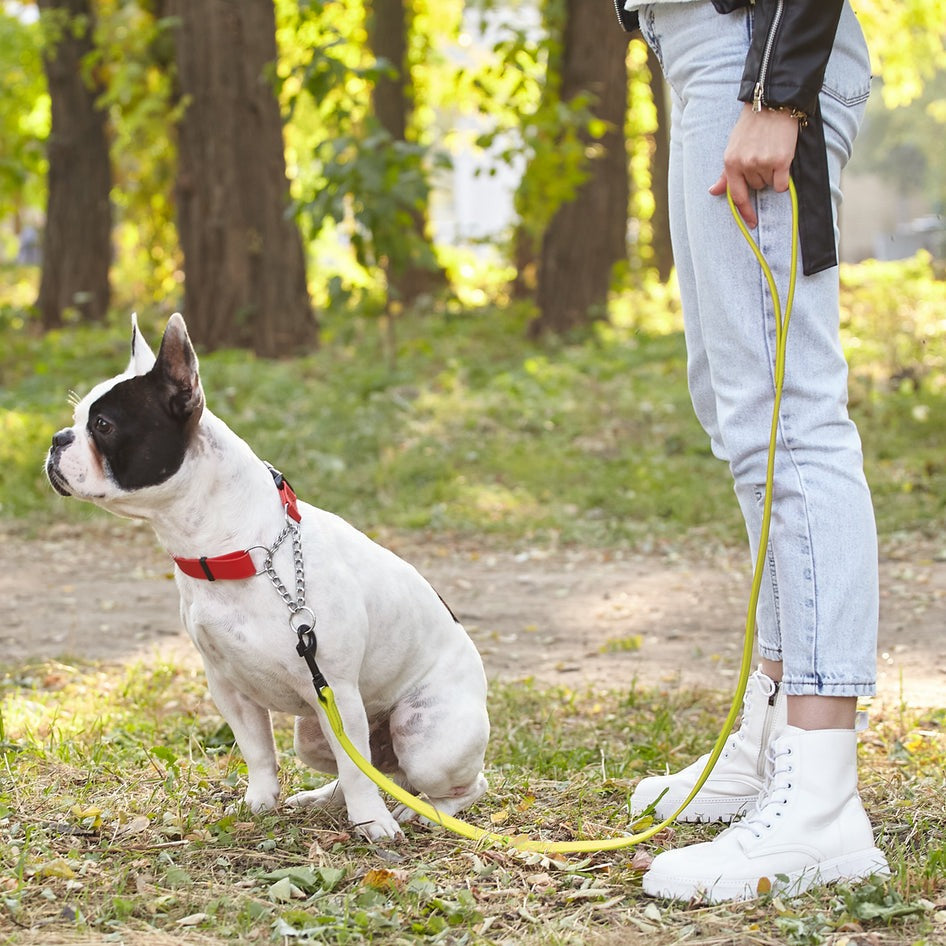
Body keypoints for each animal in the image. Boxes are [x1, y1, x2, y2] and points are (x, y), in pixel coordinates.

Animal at [45, 314, 490, 836]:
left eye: (103, 425)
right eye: (76, 420)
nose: (57, 439)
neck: (233, 551)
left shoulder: (337, 690)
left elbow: (354, 772)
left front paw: (372, 824)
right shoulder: (230, 687)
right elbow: (258, 751)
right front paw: (259, 801)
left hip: (424, 739)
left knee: (452, 783)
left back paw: (425, 813)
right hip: (314, 734)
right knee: (372, 768)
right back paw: (322, 798)